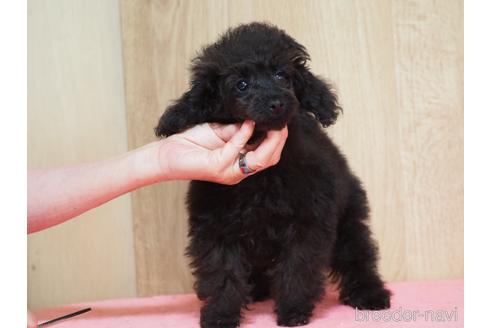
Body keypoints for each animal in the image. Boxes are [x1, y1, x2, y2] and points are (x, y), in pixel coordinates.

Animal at [156, 21, 390, 326]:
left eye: (281, 75)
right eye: (241, 84)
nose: (277, 103)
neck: (260, 180)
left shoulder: (306, 224)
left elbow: (297, 268)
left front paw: (293, 310)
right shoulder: (216, 229)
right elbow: (222, 273)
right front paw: (221, 314)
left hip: (348, 216)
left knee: (357, 255)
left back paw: (370, 294)